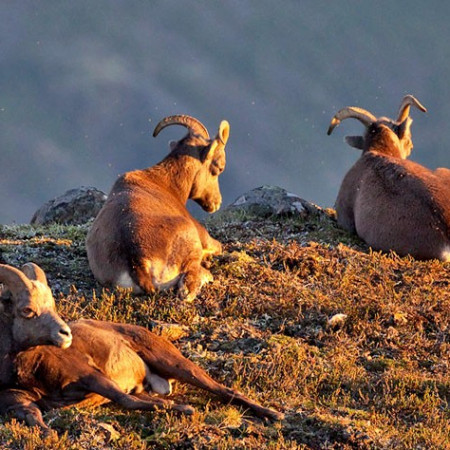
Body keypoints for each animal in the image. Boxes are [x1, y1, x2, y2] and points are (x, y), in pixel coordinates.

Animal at [0, 262, 282, 434]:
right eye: (28, 310)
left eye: (52, 305)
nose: (65, 334)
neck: (31, 370)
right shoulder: (17, 398)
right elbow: (33, 413)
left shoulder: (90, 375)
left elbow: (127, 400)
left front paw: (184, 409)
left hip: (175, 364)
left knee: (223, 390)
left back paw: (273, 415)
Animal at [86, 114, 230, 300]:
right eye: (219, 167)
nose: (216, 202)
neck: (164, 183)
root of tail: (137, 262)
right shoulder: (203, 237)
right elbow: (218, 246)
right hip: (190, 241)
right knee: (189, 282)